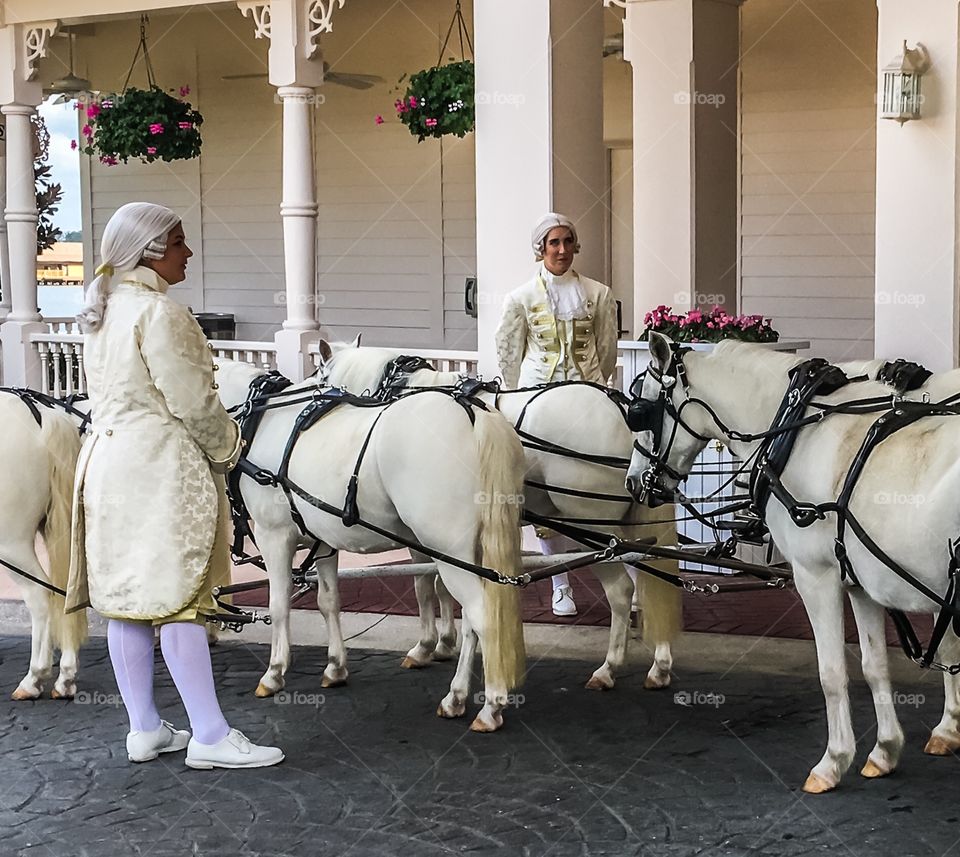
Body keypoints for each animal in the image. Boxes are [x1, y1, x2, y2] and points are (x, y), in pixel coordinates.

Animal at [216, 360, 524, 728]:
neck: (261, 419)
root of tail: (472, 412)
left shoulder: (273, 535)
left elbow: (278, 606)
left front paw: (274, 673)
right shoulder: (324, 542)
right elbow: (329, 601)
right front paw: (335, 667)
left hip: (449, 552)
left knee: (482, 616)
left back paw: (488, 706)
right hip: (472, 554)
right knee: (472, 622)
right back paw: (458, 697)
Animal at [318, 340, 680, 688]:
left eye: (320, 379)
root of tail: (620, 408)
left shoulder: (422, 530)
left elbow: (424, 584)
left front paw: (426, 646)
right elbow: (440, 584)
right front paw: (445, 642)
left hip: (594, 525)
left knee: (622, 589)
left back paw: (609, 668)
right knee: (654, 570)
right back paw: (660, 664)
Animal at [628, 332, 960, 788]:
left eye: (640, 409)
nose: (632, 482)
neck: (796, 432)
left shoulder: (815, 576)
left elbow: (832, 672)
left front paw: (833, 761)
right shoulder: (861, 582)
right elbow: (875, 666)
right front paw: (884, 751)